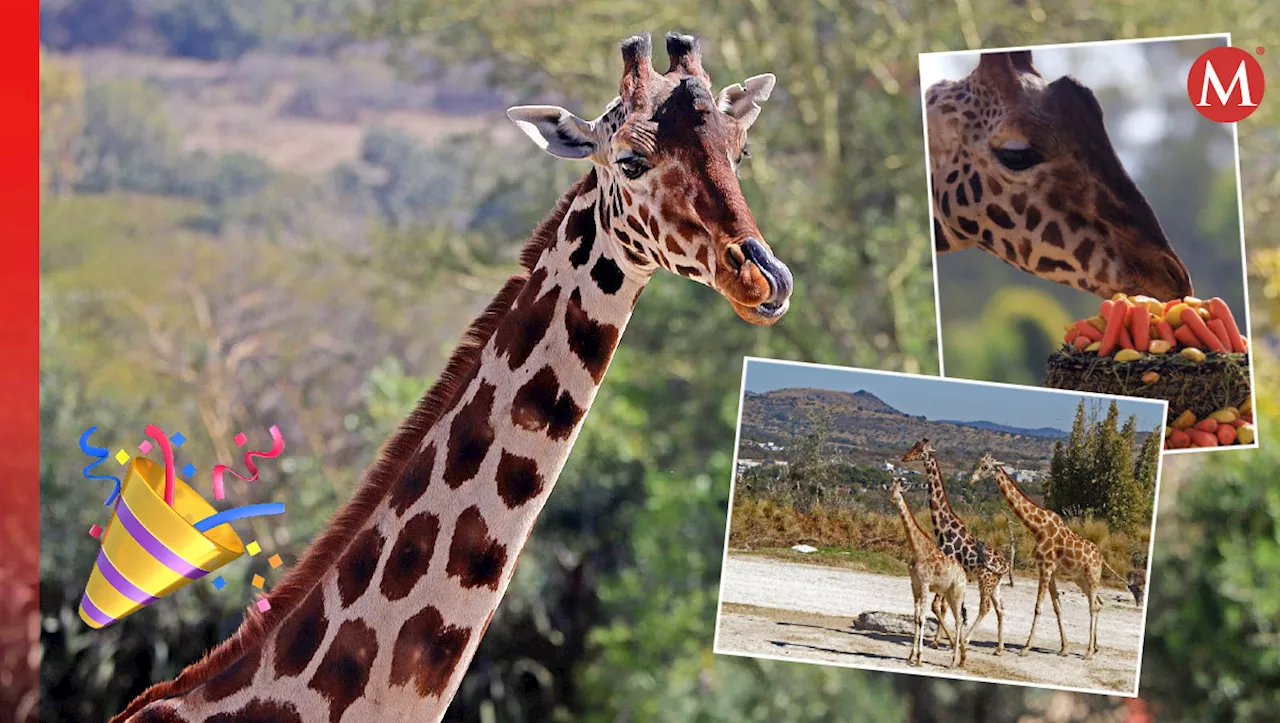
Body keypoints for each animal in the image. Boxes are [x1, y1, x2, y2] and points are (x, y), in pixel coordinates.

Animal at [890, 476, 962, 670]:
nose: (893, 499)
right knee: (957, 618)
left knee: (960, 619)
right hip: (948, 593)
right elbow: (916, 618)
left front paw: (919, 658)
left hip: (958, 592)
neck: (917, 550)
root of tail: (964, 574)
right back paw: (958, 659)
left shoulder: (924, 584)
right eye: (890, 488)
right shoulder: (914, 585)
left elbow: (922, 618)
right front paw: (910, 656)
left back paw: (953, 661)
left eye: (900, 491)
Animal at [901, 440, 1008, 655]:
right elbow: (941, 607)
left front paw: (949, 642)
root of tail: (1006, 564)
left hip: (985, 582)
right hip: (995, 584)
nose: (904, 458)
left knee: (985, 608)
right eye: (913, 446)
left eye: (919, 450)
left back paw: (965, 641)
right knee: (1000, 608)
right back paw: (999, 648)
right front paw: (937, 641)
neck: (943, 527)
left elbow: (938, 606)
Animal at [967, 450, 1131, 660]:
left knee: (1093, 606)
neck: (1037, 527)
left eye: (986, 467)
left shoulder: (1045, 566)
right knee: (1099, 603)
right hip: (1081, 579)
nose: (971, 479)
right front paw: (1064, 648)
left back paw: (1088, 652)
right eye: (978, 464)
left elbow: (1038, 607)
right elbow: (1057, 607)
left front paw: (1026, 648)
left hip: (1092, 576)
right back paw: (1094, 647)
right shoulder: (1049, 569)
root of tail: (1101, 558)